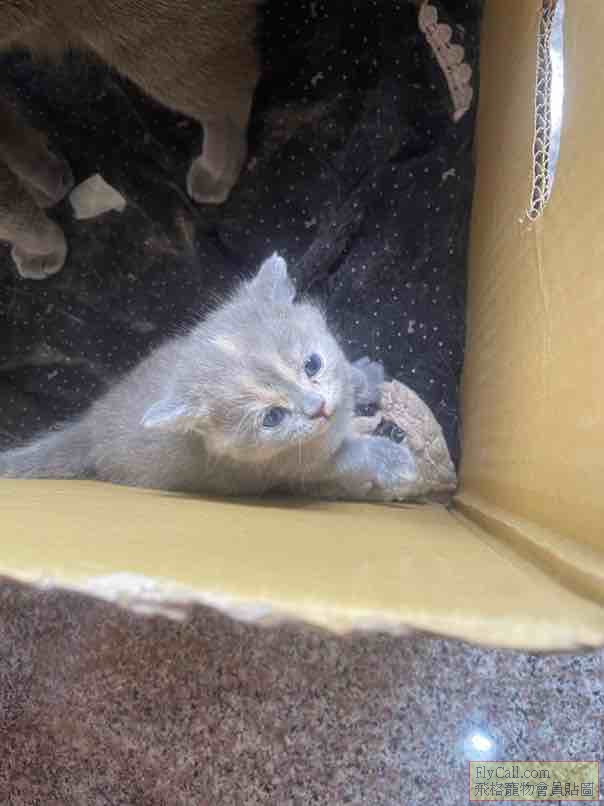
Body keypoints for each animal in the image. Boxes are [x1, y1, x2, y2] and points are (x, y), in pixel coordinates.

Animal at [0, 0, 261, 279]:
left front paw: (42, 249)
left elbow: (11, 213)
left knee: (230, 95)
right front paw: (48, 184)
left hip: (138, 36)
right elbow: (18, 145)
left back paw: (215, 173)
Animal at [0, 254, 419, 501]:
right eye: (272, 418)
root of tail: (89, 423)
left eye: (312, 364)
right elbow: (350, 456)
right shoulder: (299, 468)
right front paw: (392, 459)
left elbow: (348, 375)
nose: (318, 409)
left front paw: (363, 376)